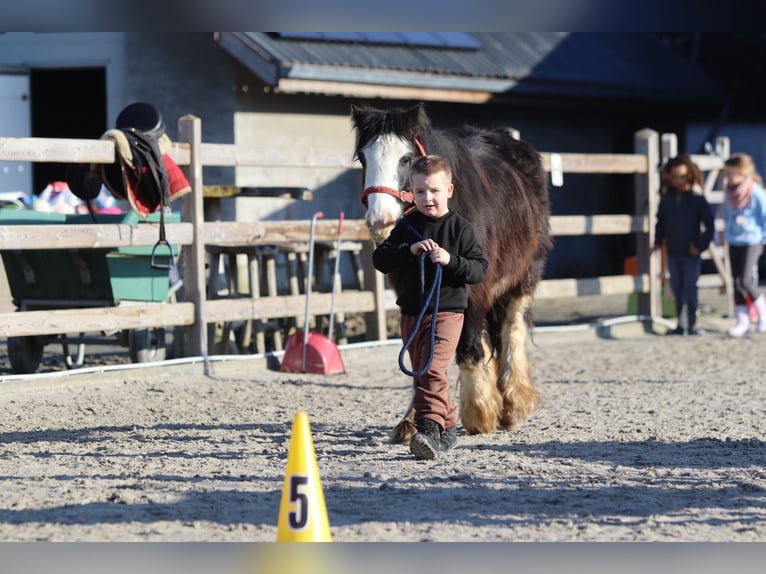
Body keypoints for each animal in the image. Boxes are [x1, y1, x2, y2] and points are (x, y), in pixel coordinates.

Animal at [354, 103, 552, 444]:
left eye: (406, 158)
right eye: (363, 158)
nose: (381, 222)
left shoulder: (475, 287)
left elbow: (470, 346)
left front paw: (479, 413)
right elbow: (420, 356)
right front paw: (411, 421)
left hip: (525, 274)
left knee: (511, 329)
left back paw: (513, 405)